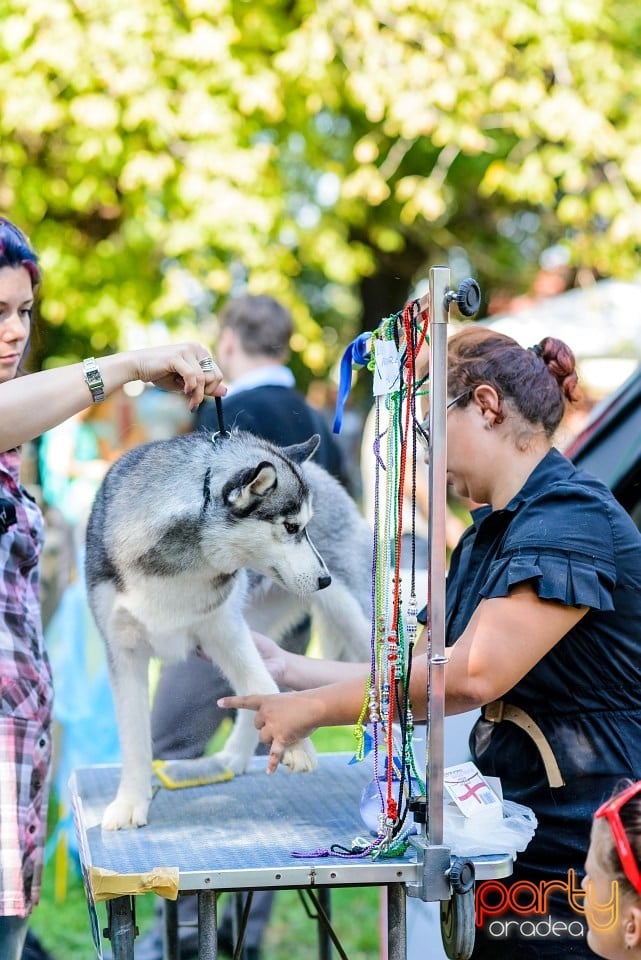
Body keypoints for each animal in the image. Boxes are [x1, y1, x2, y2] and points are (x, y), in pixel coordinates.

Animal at [87, 432, 372, 828]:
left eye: (306, 528)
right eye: (291, 527)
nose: (324, 579)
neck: (177, 564)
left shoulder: (225, 630)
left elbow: (263, 685)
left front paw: (297, 745)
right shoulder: (124, 653)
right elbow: (134, 738)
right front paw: (131, 802)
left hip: (353, 620)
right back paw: (234, 757)